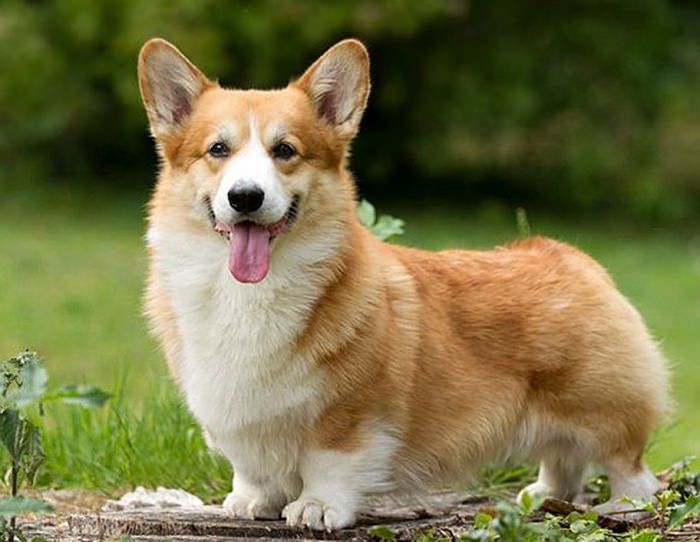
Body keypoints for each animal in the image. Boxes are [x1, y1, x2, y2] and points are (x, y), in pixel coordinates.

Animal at [138, 38, 672, 532]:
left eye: (285, 151)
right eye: (218, 150)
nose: (245, 197)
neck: (248, 294)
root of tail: (571, 257)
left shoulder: (349, 415)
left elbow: (328, 464)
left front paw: (315, 508)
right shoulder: (237, 413)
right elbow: (252, 468)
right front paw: (252, 501)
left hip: (601, 410)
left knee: (628, 464)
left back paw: (625, 505)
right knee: (563, 460)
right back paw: (541, 497)